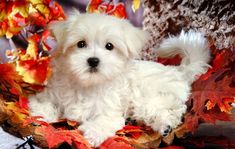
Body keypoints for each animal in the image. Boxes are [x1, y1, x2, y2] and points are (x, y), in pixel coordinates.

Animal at [28, 11, 210, 147]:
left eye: (109, 46)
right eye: (81, 44)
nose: (93, 60)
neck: (87, 84)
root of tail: (178, 71)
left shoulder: (110, 110)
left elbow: (104, 121)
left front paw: (92, 133)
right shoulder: (53, 94)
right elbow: (44, 103)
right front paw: (41, 113)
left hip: (149, 99)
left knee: (173, 110)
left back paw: (164, 125)